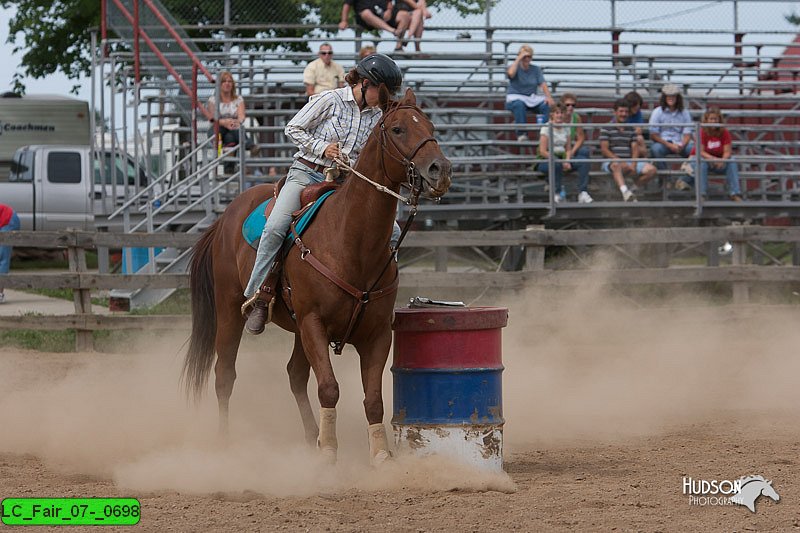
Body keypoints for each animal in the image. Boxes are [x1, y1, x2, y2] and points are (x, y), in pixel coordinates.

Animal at [184, 86, 454, 462]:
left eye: (429, 125)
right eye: (398, 129)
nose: (440, 169)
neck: (349, 241)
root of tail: (225, 217)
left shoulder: (376, 334)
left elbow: (373, 400)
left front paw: (379, 456)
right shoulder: (314, 323)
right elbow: (329, 388)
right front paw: (329, 452)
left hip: (296, 328)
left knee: (295, 375)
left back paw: (310, 436)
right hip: (229, 309)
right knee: (225, 374)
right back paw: (226, 441)